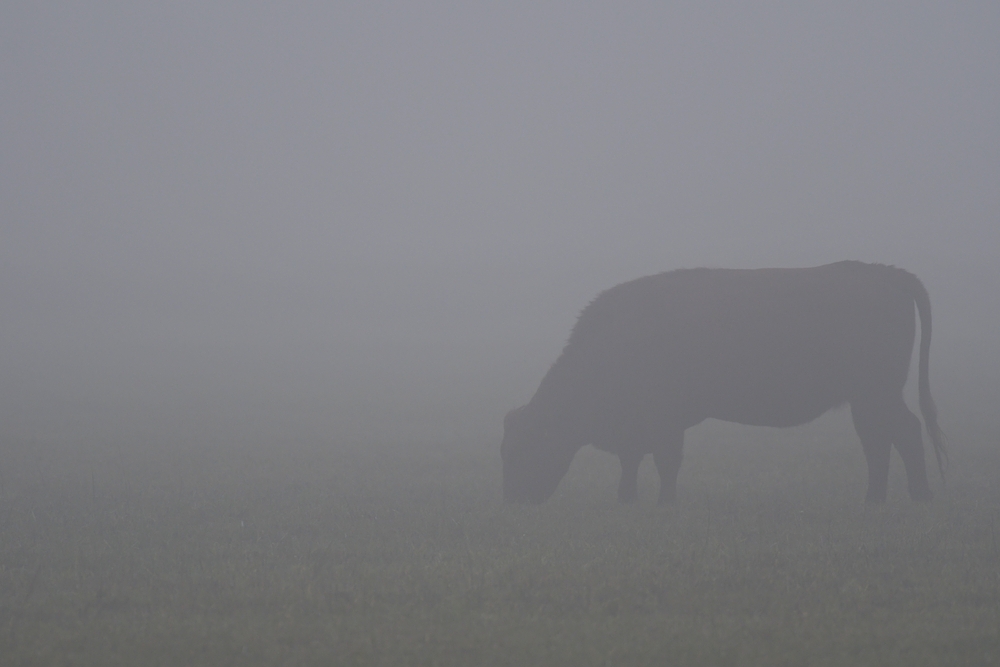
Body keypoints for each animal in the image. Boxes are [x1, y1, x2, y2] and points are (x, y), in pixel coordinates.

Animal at [500, 260, 944, 506]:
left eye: (521, 449)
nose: (513, 500)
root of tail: (880, 273)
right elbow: (632, 462)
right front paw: (626, 498)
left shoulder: (665, 423)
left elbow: (665, 462)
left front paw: (664, 502)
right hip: (867, 400)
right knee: (880, 441)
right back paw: (877, 498)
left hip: (876, 395)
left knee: (902, 433)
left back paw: (917, 496)